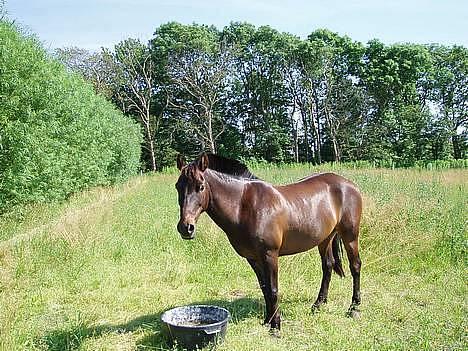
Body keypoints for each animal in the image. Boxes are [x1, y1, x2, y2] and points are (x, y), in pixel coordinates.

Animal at [176, 153, 362, 332]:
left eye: (200, 186)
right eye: (178, 186)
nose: (186, 228)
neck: (244, 207)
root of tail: (348, 184)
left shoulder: (269, 255)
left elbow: (273, 290)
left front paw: (276, 326)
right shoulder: (253, 258)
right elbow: (264, 288)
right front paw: (267, 320)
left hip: (350, 236)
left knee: (355, 266)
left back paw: (354, 308)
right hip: (325, 238)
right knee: (328, 265)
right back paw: (318, 305)